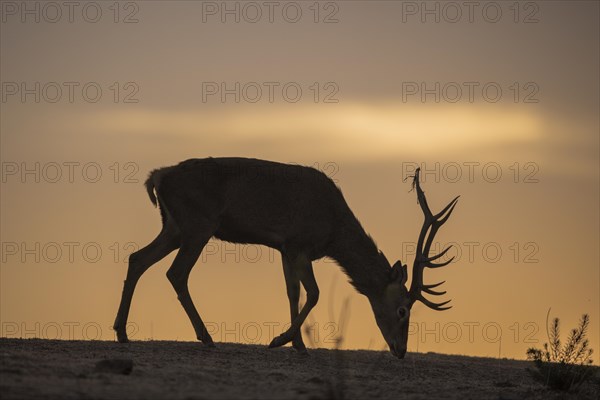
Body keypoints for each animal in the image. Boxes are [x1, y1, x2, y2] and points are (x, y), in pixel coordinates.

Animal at [113, 158, 460, 358]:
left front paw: (297, 343)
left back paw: (122, 332)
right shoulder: (299, 244)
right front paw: (280, 339)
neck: (333, 231)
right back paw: (207, 337)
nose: (401, 350)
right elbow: (314, 293)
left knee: (137, 258)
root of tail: (156, 177)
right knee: (176, 273)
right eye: (403, 310)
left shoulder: (285, 248)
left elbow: (292, 291)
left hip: (173, 226)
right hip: (198, 225)